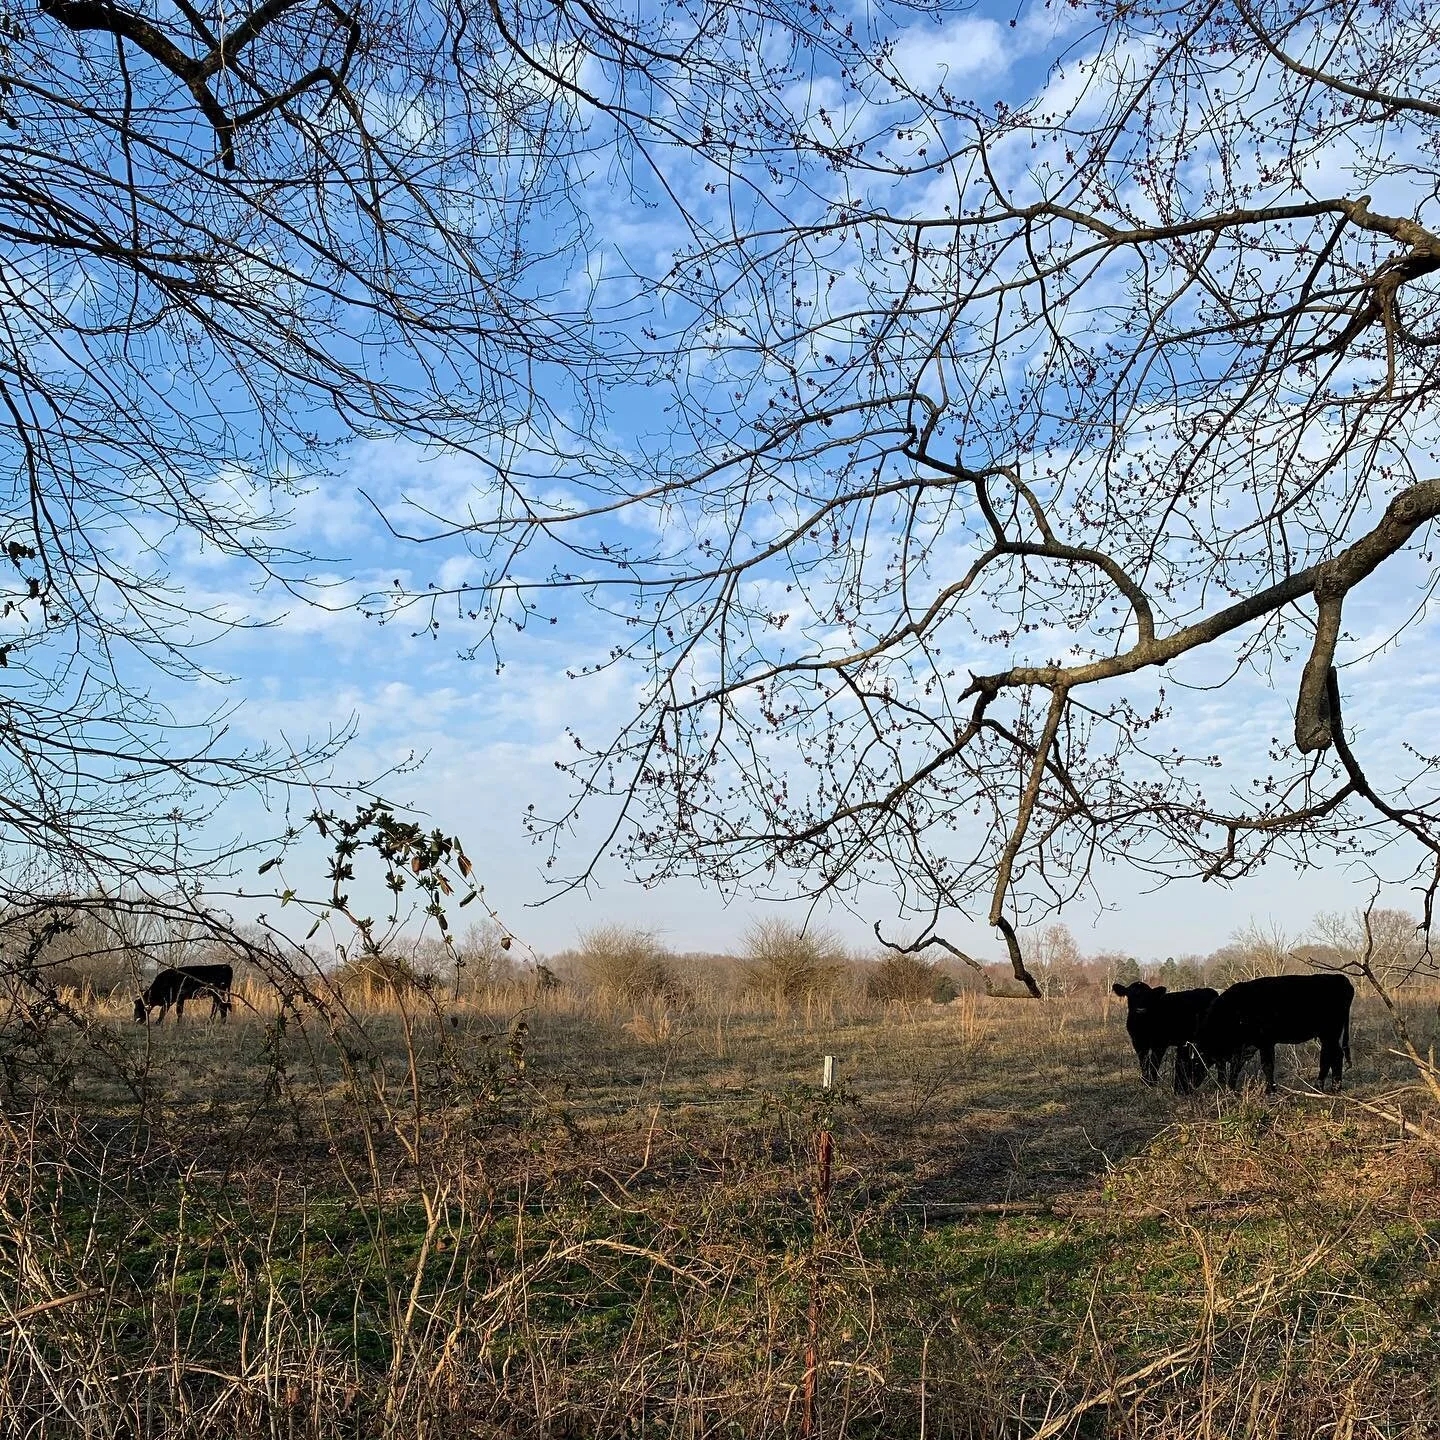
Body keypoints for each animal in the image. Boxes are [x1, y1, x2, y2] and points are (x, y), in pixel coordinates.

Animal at [1194, 973, 1354, 1092]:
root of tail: (1340, 978)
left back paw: (1324, 1087)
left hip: (1330, 1033)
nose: (1190, 1087)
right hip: (1327, 1035)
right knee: (1333, 1055)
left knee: (1331, 1056)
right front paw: (1231, 1088)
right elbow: (1237, 1067)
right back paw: (1330, 1087)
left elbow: (1267, 1065)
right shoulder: (1248, 1047)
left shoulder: (1263, 1042)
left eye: (1195, 1060)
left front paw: (1269, 1090)